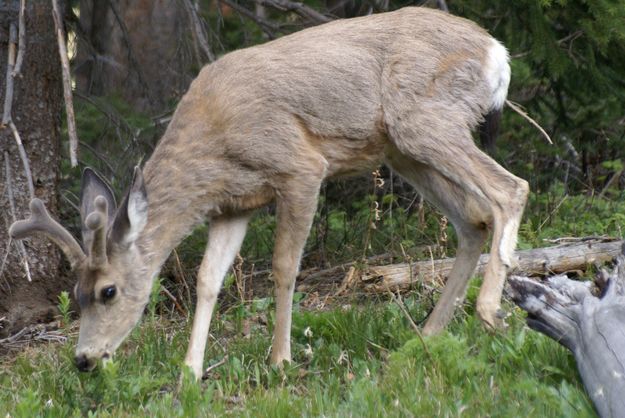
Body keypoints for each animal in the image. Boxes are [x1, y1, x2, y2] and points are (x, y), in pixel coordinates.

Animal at [9, 7, 528, 378]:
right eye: (75, 293)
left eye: (108, 291)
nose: (83, 360)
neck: (214, 143)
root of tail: (496, 51)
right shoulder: (232, 204)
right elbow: (207, 279)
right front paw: (190, 371)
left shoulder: (300, 167)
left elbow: (283, 266)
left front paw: (280, 359)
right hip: (404, 150)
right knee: (473, 220)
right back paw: (426, 335)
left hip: (423, 121)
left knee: (511, 189)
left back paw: (488, 311)